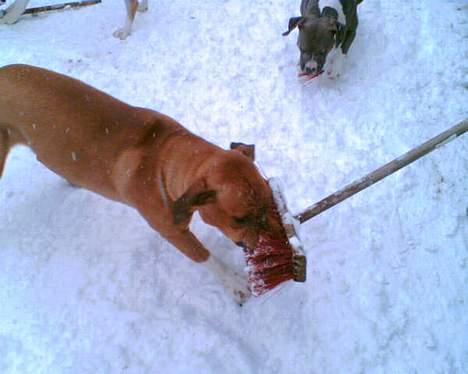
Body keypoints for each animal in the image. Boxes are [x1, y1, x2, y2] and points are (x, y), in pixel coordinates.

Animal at [0, 64, 286, 304]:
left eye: (270, 200)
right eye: (239, 220)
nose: (277, 237)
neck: (162, 160)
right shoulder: (173, 232)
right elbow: (204, 257)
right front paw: (234, 284)